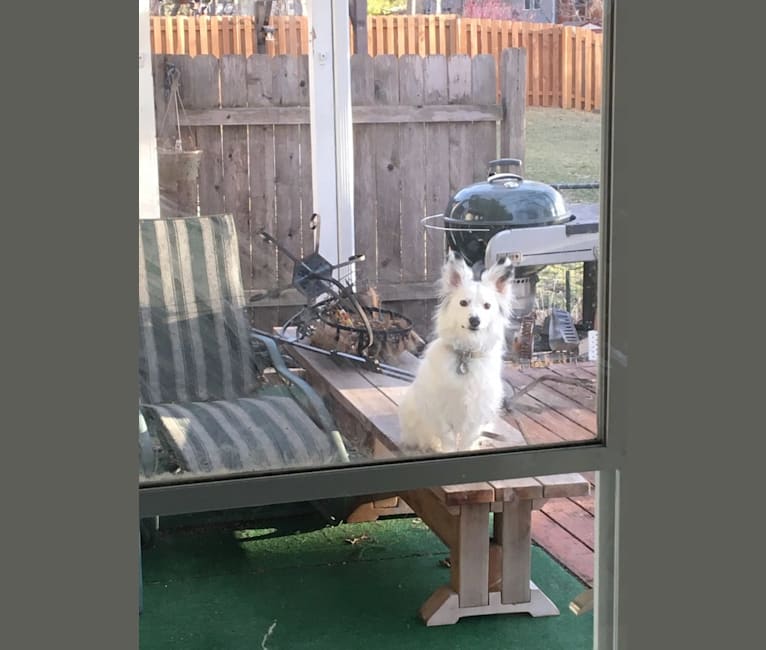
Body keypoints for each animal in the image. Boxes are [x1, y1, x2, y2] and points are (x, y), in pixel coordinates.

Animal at [400, 251, 512, 454]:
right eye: (463, 303)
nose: (474, 320)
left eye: (487, 306)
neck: (466, 353)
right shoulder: (441, 409)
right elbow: (449, 440)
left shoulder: (477, 411)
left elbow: (467, 440)